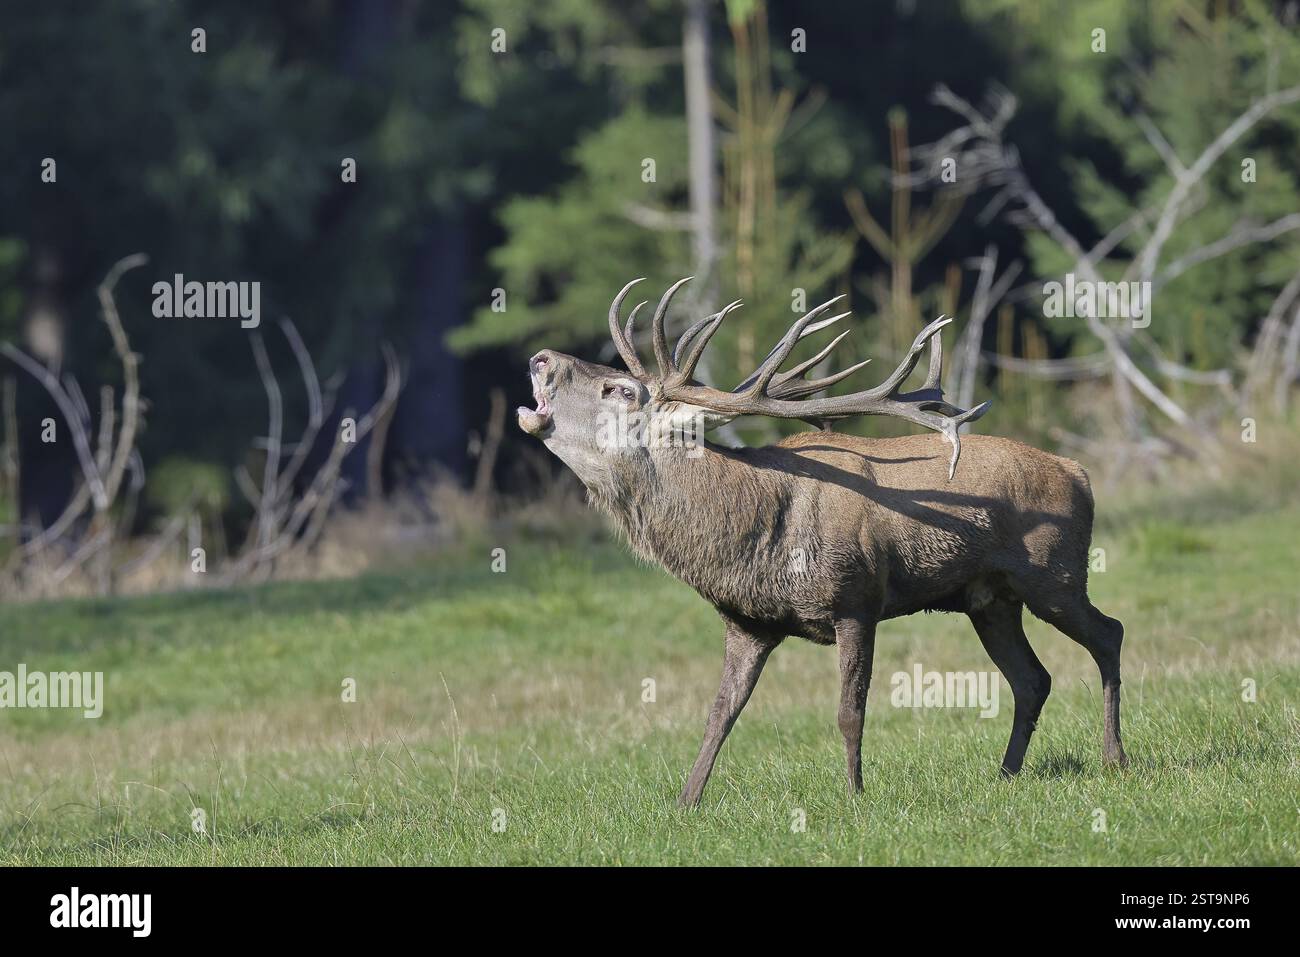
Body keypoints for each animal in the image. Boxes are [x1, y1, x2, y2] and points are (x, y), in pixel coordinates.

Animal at [517, 277, 1128, 807]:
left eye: (619, 390)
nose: (540, 358)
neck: (752, 539)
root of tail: (1079, 473)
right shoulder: (748, 622)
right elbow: (720, 713)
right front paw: (686, 802)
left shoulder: (856, 599)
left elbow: (849, 710)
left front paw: (855, 795)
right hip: (991, 600)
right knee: (1033, 678)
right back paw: (1006, 773)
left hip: (1053, 575)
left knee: (1109, 634)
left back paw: (1114, 758)